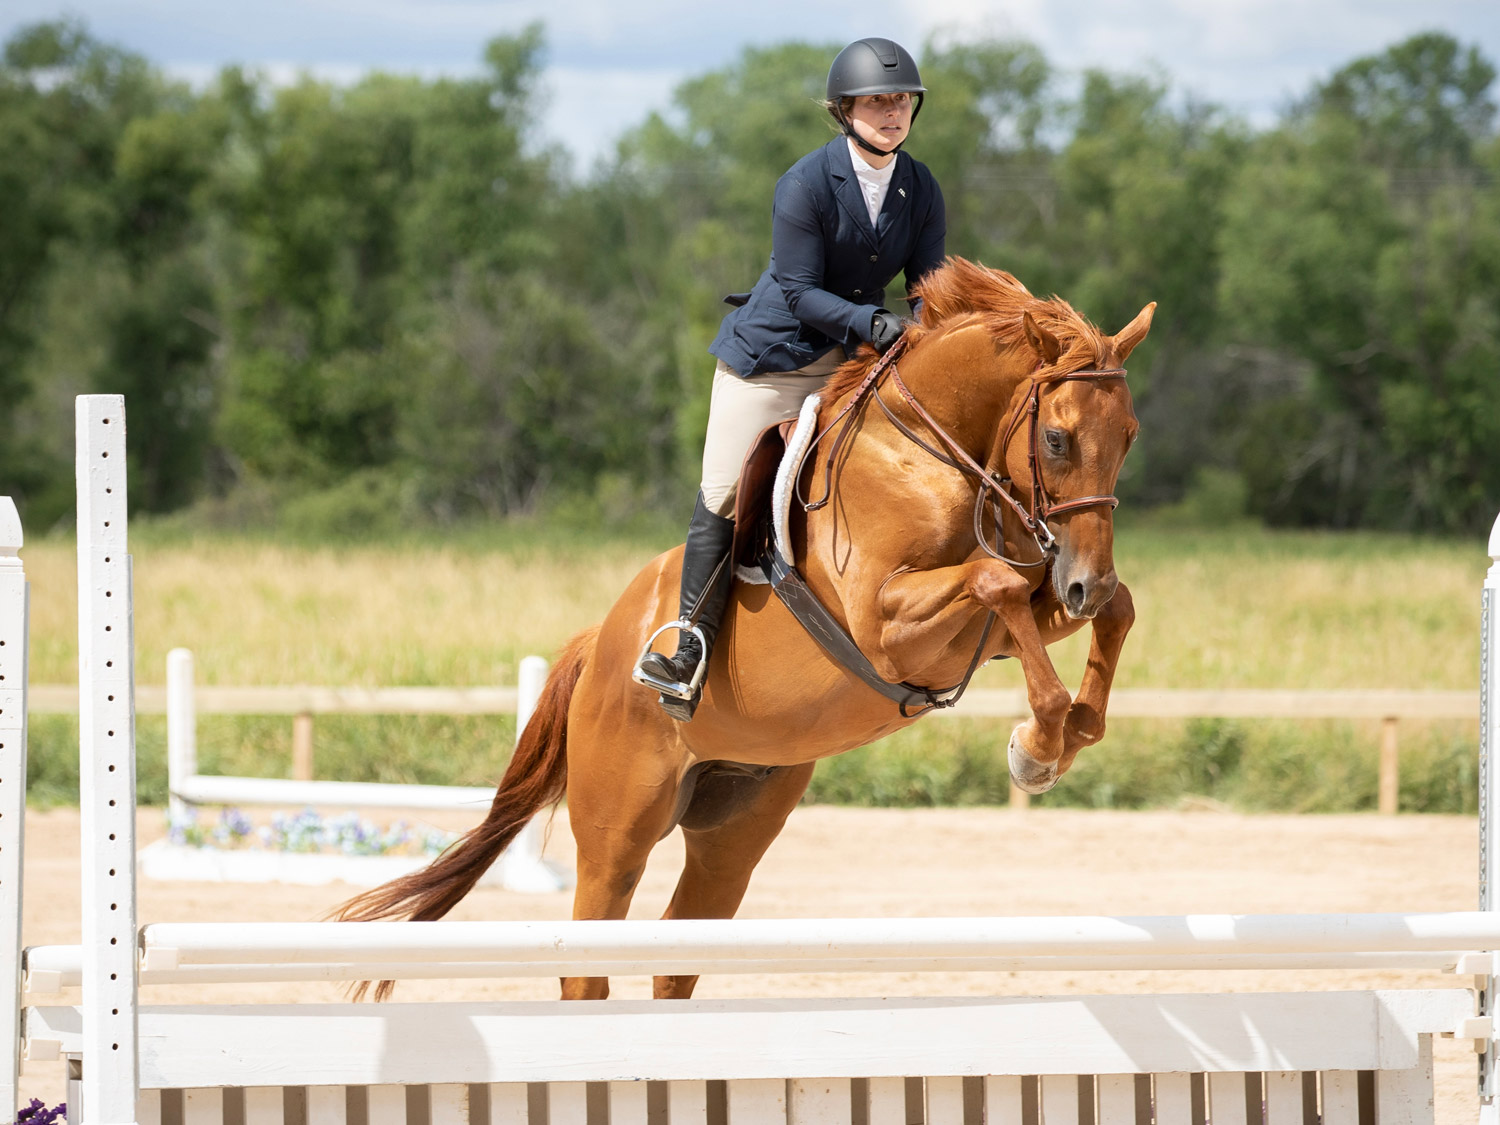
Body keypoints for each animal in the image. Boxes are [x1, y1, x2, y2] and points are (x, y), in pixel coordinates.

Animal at [343, 258, 1158, 1002]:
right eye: (1057, 439)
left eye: (1129, 436)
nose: (1082, 580)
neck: (932, 455)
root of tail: (600, 645)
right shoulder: (889, 625)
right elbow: (998, 582)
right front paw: (1037, 748)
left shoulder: (996, 626)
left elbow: (1104, 606)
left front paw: (1072, 730)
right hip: (616, 832)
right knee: (587, 960)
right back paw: (674, 667)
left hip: (735, 827)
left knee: (678, 951)